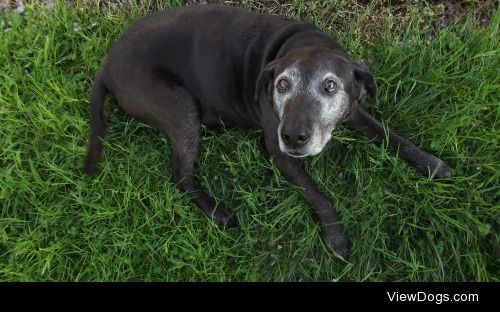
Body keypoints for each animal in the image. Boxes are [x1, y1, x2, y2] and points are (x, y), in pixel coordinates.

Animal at [84, 4, 452, 258]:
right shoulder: (278, 152)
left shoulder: (354, 111)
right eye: (282, 85)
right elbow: (317, 194)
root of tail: (105, 65)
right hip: (182, 108)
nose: (293, 136)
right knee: (180, 175)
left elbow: (392, 137)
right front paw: (335, 236)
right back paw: (217, 213)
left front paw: (431, 163)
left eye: (330, 86)